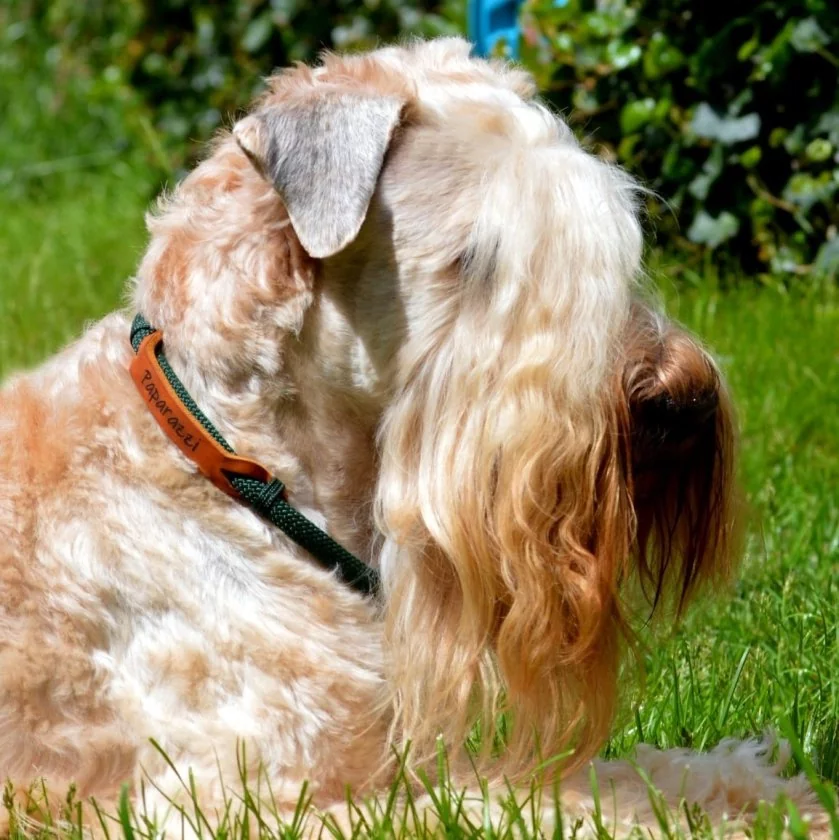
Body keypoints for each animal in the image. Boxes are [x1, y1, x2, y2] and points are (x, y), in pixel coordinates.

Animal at [0, 37, 828, 832]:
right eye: (479, 258)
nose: (677, 400)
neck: (240, 463)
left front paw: (771, 790)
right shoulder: (238, 796)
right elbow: (534, 805)